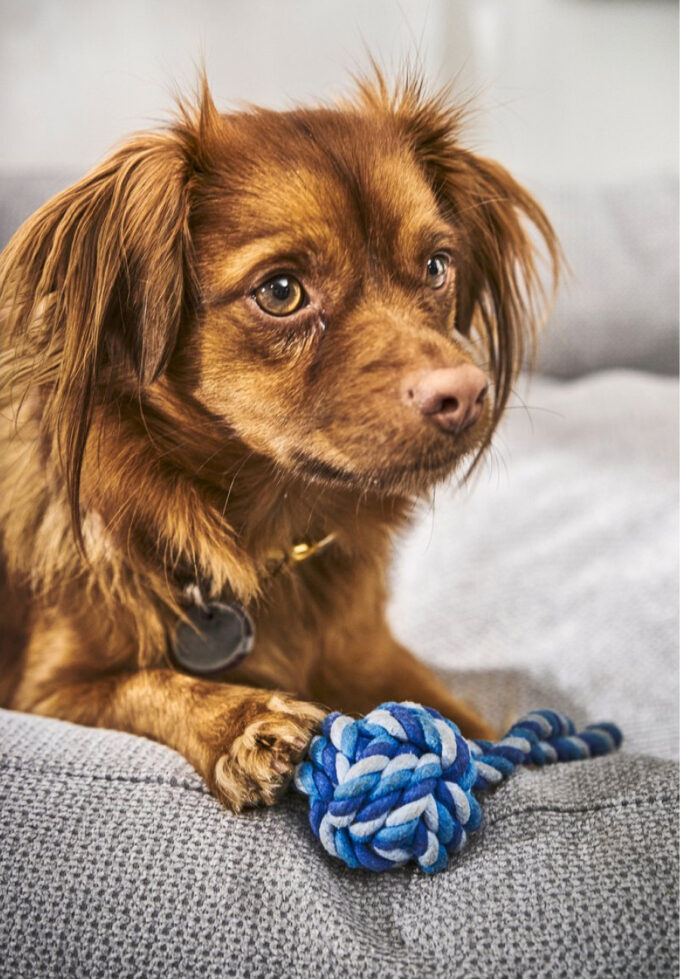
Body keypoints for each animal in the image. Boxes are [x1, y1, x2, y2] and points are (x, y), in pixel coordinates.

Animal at [0, 74, 556, 812]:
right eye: (282, 290)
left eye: (438, 267)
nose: (465, 393)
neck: (270, 526)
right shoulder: (45, 688)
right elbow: (143, 682)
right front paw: (243, 720)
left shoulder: (367, 652)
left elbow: (473, 721)